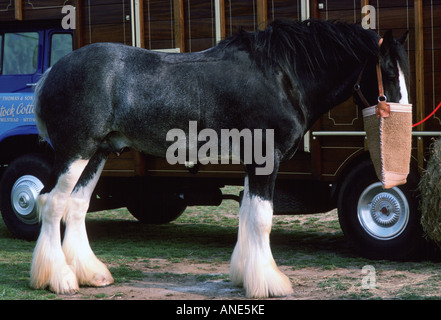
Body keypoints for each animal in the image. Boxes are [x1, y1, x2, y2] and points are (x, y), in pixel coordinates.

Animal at [30, 19, 410, 298]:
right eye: (389, 73)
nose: (400, 117)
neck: (281, 77)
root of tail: (51, 73)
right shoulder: (265, 159)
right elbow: (261, 219)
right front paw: (269, 283)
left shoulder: (252, 162)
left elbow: (247, 215)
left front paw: (245, 276)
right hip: (75, 152)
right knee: (51, 202)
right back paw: (58, 280)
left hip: (97, 154)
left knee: (76, 205)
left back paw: (90, 274)